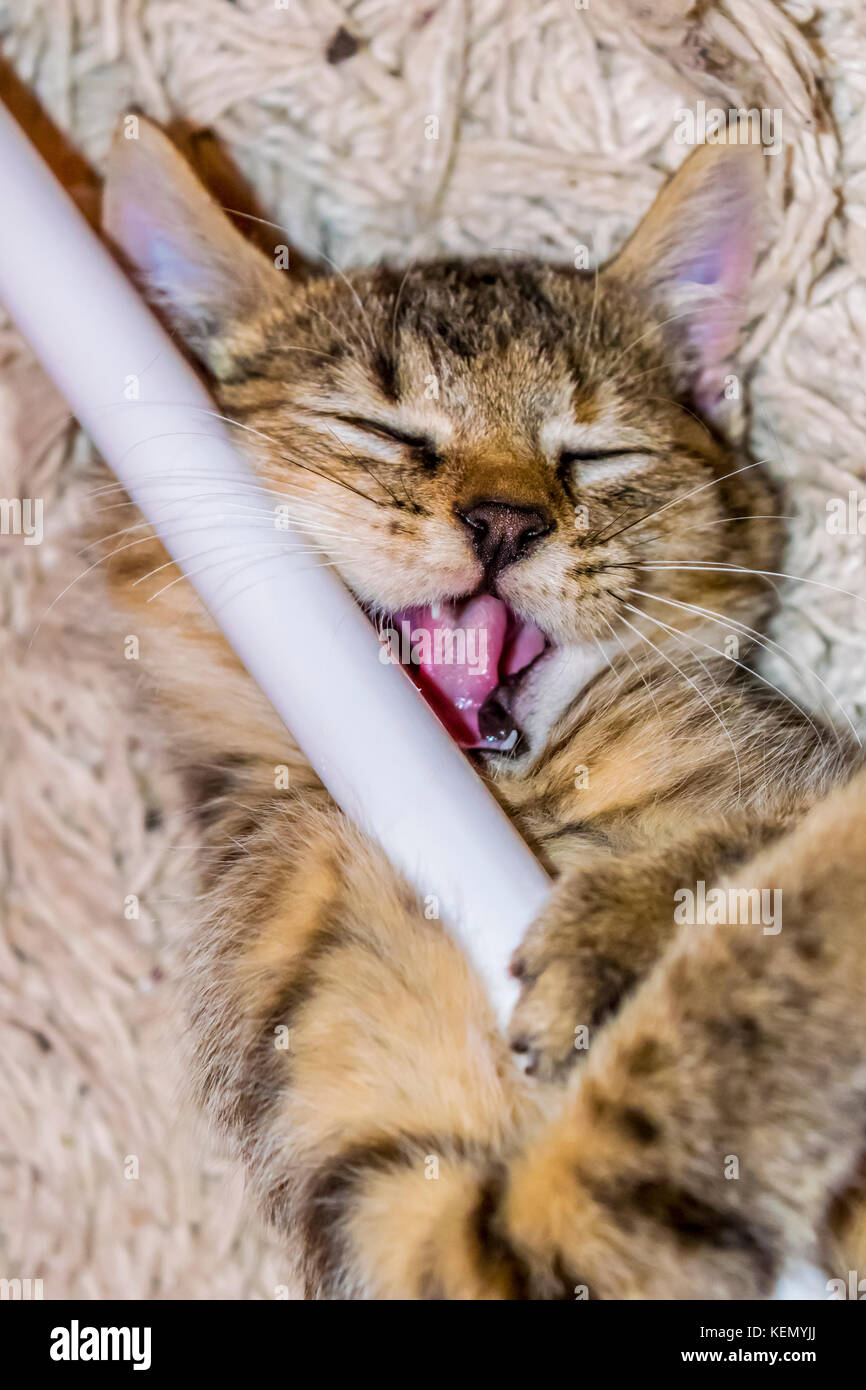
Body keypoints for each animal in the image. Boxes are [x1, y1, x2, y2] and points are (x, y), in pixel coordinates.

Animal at [94, 122, 866, 1301]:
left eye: (594, 452)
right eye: (379, 429)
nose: (505, 520)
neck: (528, 800)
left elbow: (756, 864)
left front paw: (620, 928)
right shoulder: (424, 1226)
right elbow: (694, 1063)